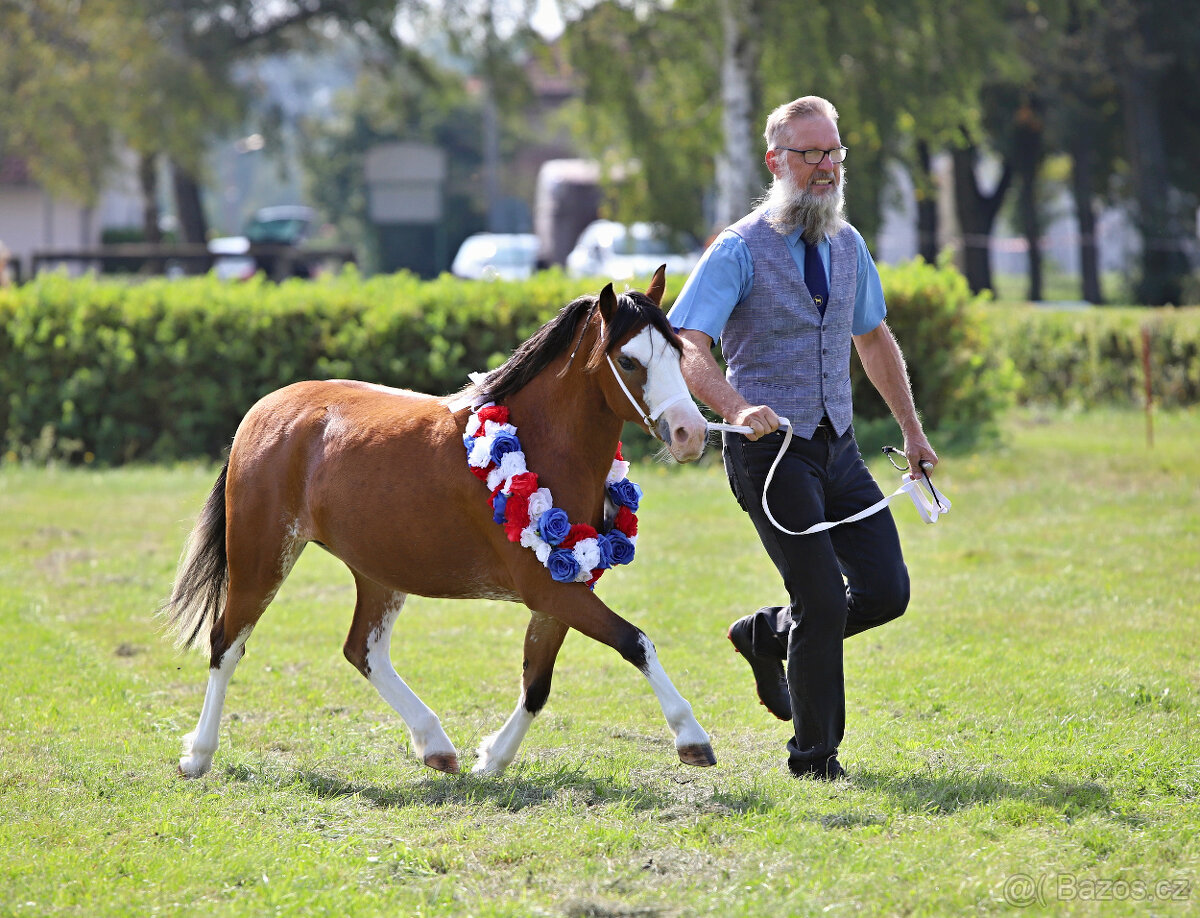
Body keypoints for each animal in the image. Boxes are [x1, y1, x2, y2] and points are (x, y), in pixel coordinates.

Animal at [161, 266, 716, 779]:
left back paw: (435, 744)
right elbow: (634, 642)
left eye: (678, 353)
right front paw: (691, 736)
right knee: (226, 642)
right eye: (629, 360)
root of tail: (263, 410)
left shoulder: (564, 583)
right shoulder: (550, 588)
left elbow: (537, 681)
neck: (541, 442)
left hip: (378, 571)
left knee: (362, 650)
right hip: (262, 557)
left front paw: (492, 758)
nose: (690, 433)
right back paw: (198, 754)